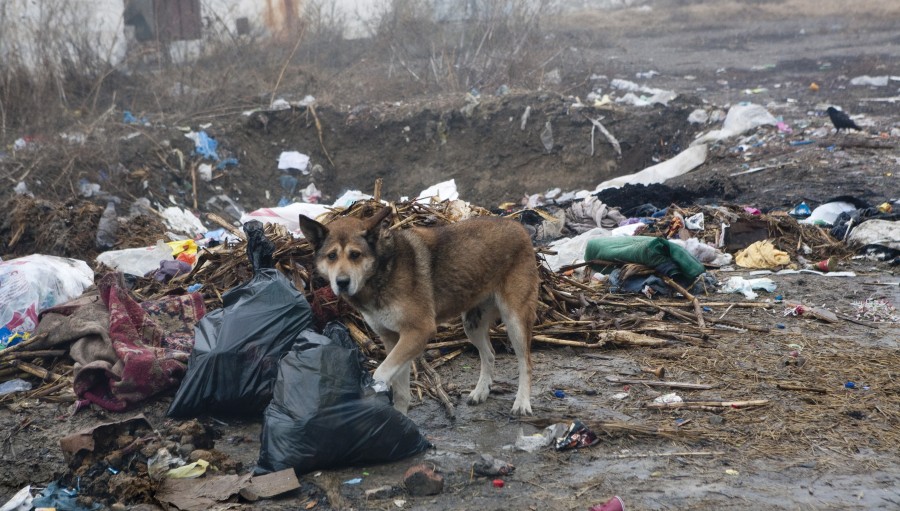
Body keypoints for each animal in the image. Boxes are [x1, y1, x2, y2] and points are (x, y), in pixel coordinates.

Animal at [300, 208, 540, 416]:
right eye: (331, 256)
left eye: (355, 255)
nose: (342, 282)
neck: (383, 270)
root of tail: (517, 226)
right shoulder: (394, 338)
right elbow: (400, 388)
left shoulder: (419, 331)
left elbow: (381, 373)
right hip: (472, 324)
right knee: (489, 354)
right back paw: (481, 391)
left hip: (515, 321)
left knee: (526, 363)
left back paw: (522, 403)